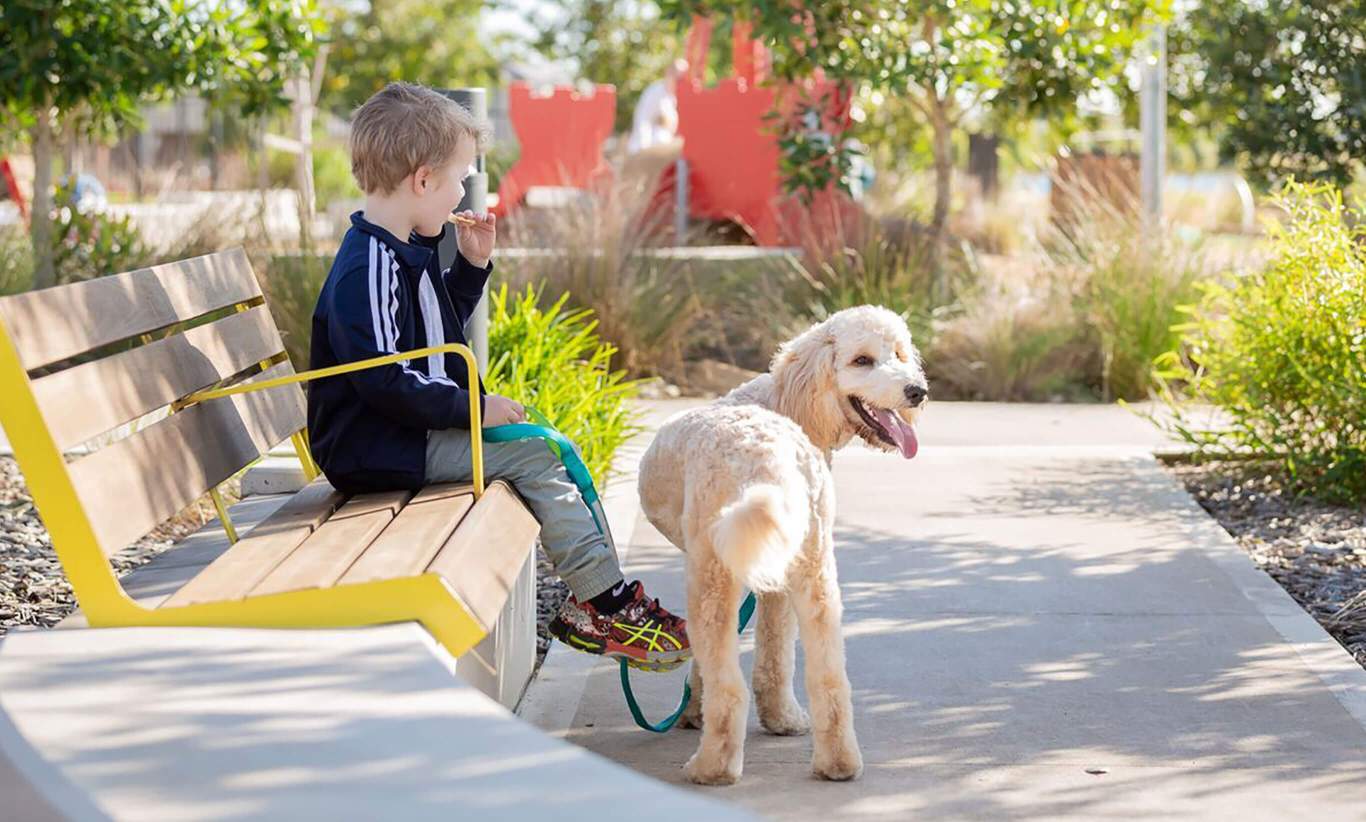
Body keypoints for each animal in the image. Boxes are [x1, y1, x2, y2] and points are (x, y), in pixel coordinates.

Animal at [639, 305, 928, 781]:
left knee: (729, 685)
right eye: (862, 360)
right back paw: (838, 762)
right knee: (829, 678)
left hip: (712, 579)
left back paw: (711, 767)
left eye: (900, 354)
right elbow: (776, 652)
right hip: (815, 575)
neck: (785, 398)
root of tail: (768, 458)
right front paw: (780, 719)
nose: (917, 391)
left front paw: (693, 708)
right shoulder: (777, 578)